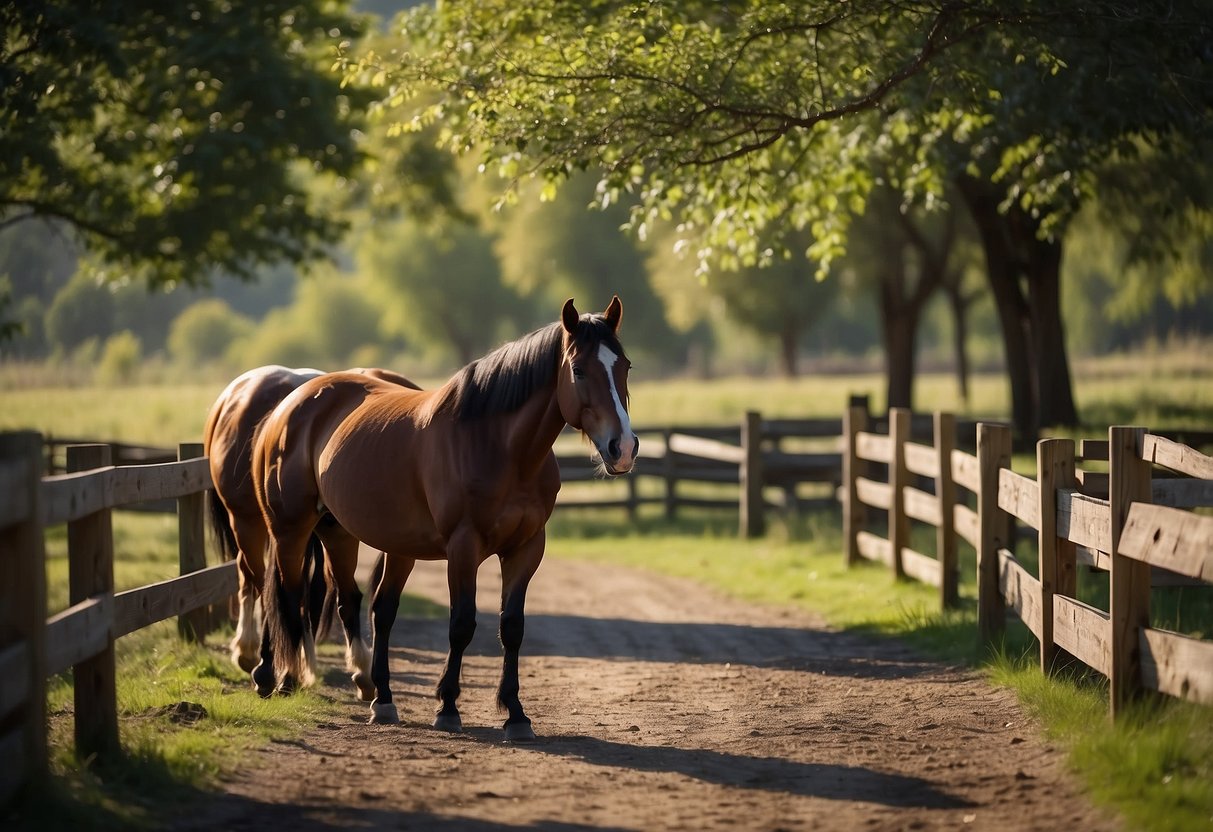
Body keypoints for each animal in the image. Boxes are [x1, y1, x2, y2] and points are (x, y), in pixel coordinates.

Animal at [252, 299, 640, 742]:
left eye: (625, 365)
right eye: (578, 370)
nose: (623, 448)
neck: (498, 447)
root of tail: (289, 404)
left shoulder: (526, 548)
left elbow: (513, 627)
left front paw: (516, 714)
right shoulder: (463, 547)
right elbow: (462, 624)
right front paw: (448, 707)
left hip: (351, 536)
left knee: (373, 608)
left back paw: (380, 697)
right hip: (290, 530)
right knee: (285, 595)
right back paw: (282, 679)